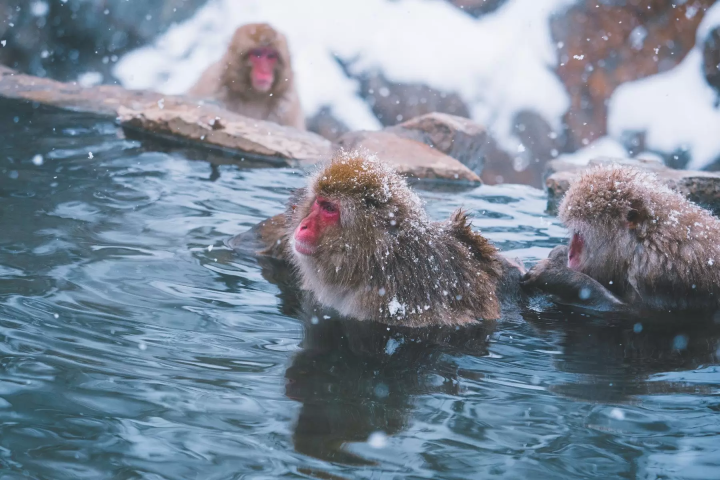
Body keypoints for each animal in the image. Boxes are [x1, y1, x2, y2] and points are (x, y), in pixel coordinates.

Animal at [522, 165, 720, 313]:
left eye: (579, 234)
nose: (571, 255)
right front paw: (559, 255)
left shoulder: (662, 277)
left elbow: (632, 313)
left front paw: (557, 275)